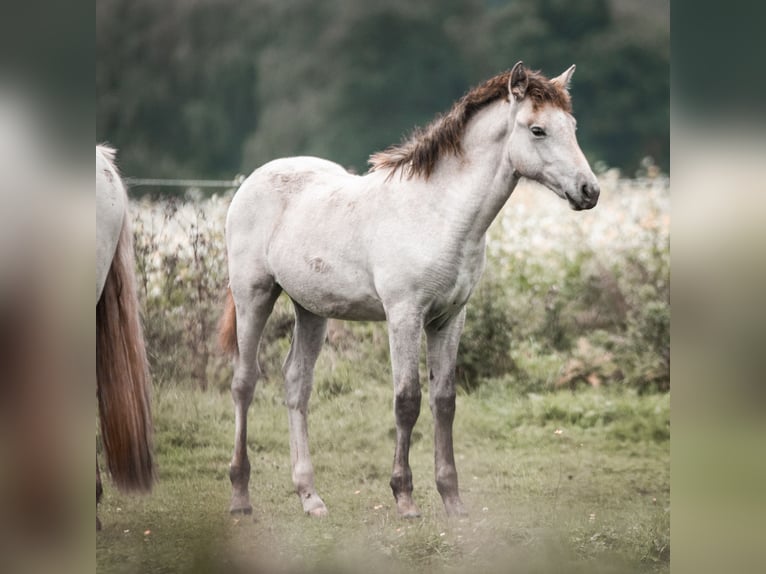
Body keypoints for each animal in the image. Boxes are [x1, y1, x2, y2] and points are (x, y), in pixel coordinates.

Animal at [219, 63, 604, 520]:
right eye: (538, 130)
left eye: (573, 127)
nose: (589, 191)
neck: (439, 214)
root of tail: (253, 180)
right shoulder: (404, 314)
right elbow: (407, 400)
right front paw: (404, 498)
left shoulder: (450, 317)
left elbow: (444, 401)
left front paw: (452, 499)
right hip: (254, 295)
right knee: (244, 383)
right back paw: (240, 496)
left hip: (311, 309)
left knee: (297, 384)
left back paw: (310, 497)